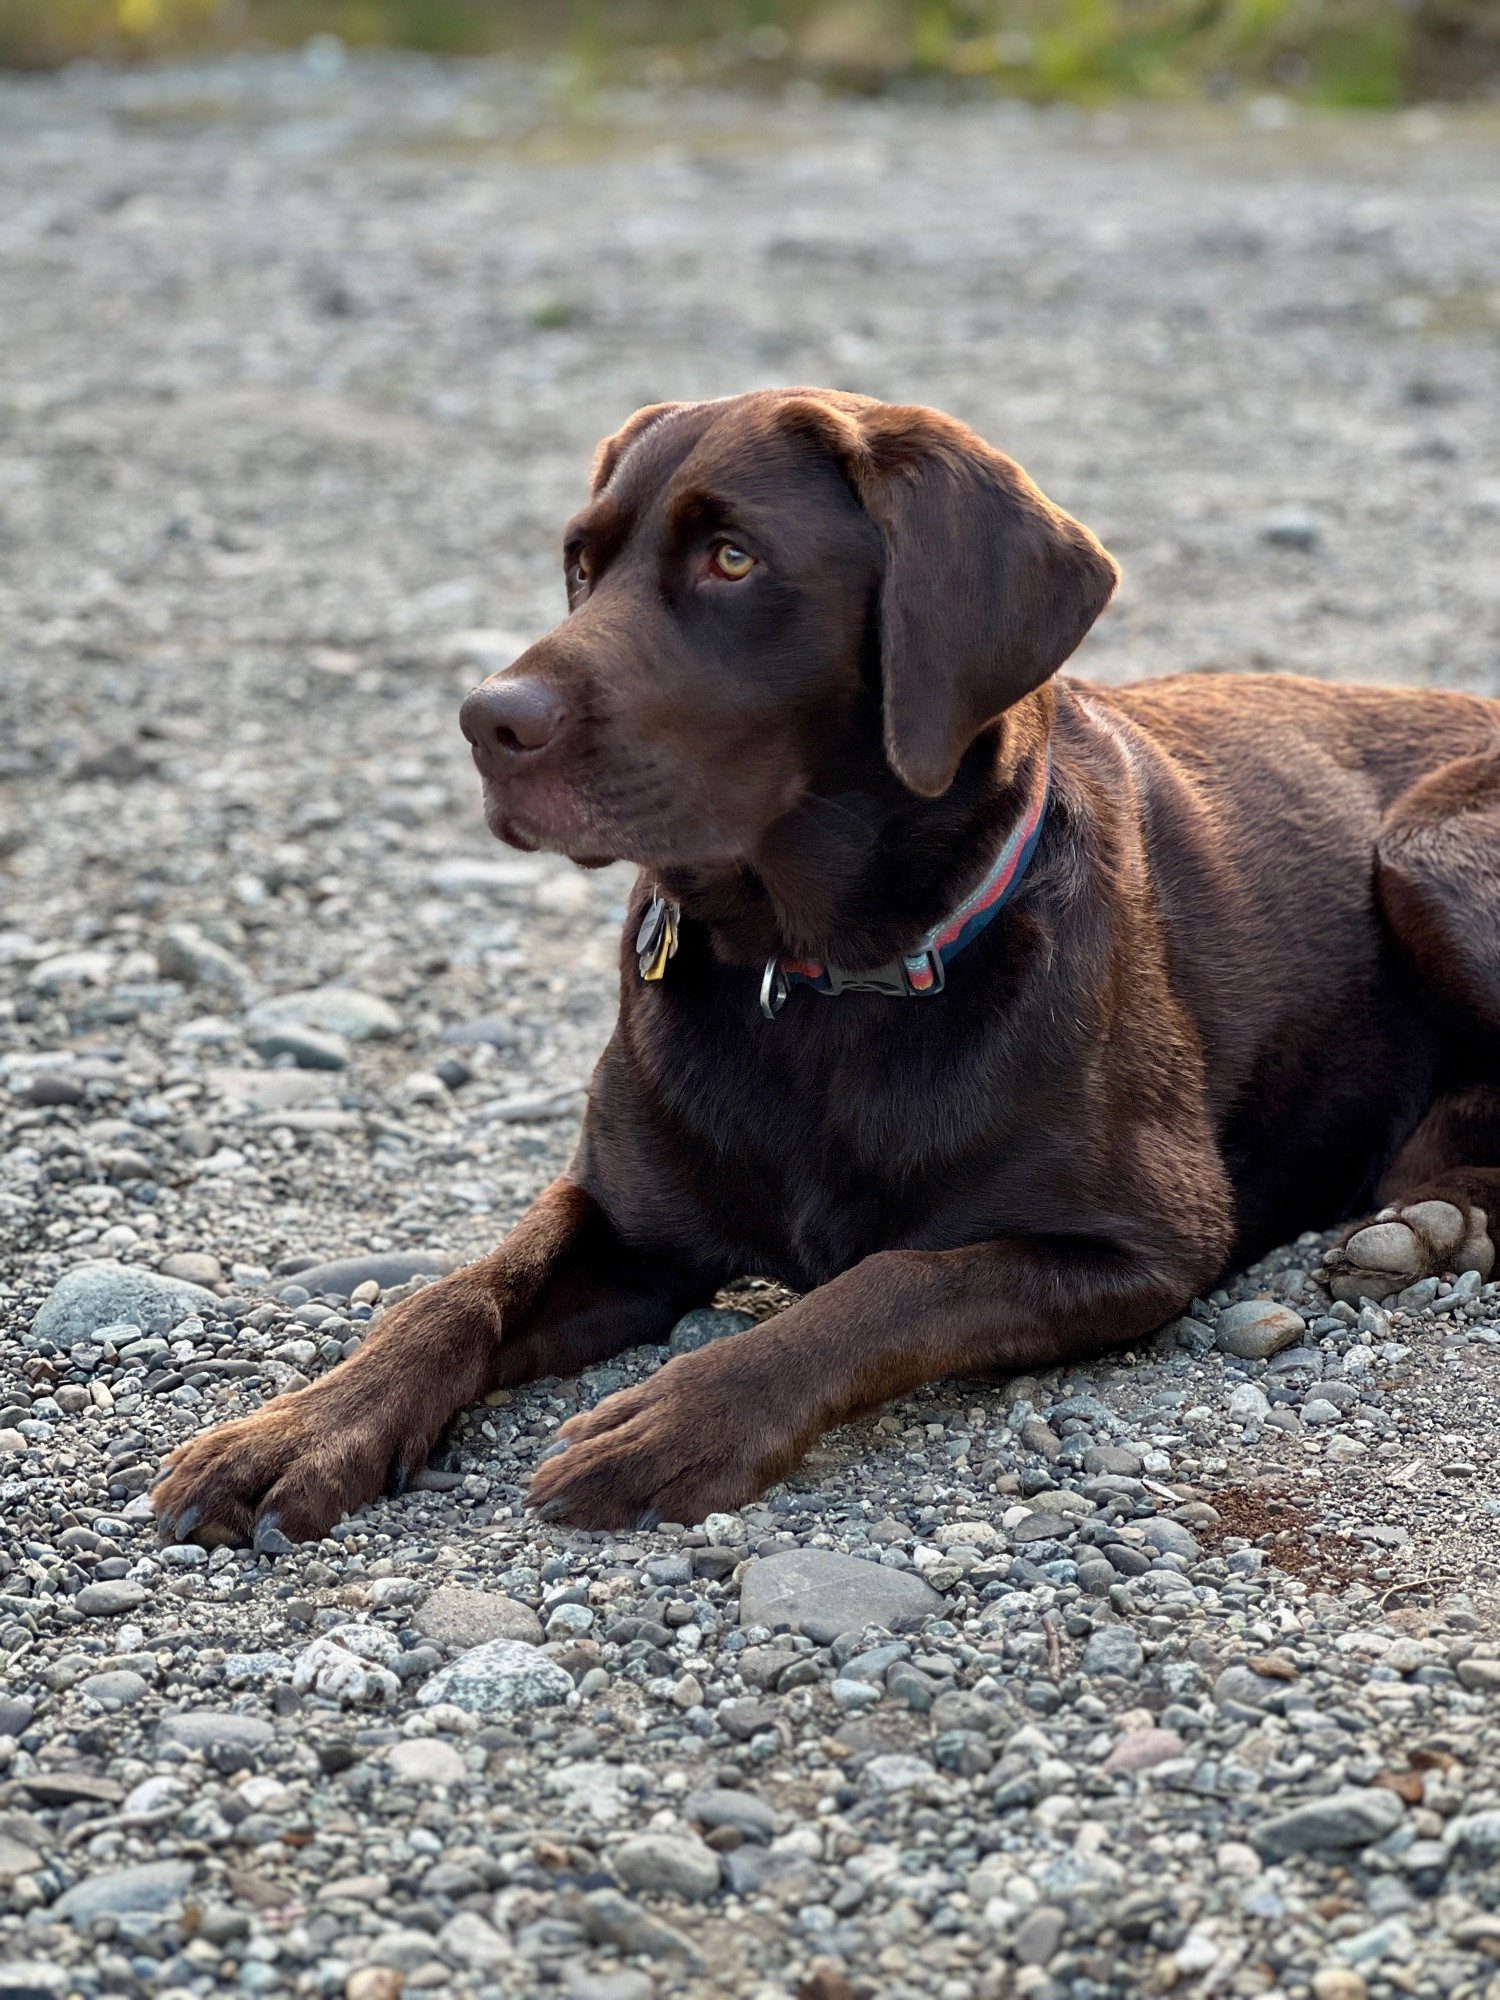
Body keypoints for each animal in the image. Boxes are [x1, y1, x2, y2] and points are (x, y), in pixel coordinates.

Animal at [156, 390, 1500, 1544]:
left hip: (1421, 847)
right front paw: (301, 1426)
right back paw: (1428, 1217)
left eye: (732, 559)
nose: (489, 719)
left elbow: (887, 1282)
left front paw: (681, 1415)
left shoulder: (1147, 1242)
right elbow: (456, 1288)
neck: (811, 975)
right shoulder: (622, 1216)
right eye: (581, 563)